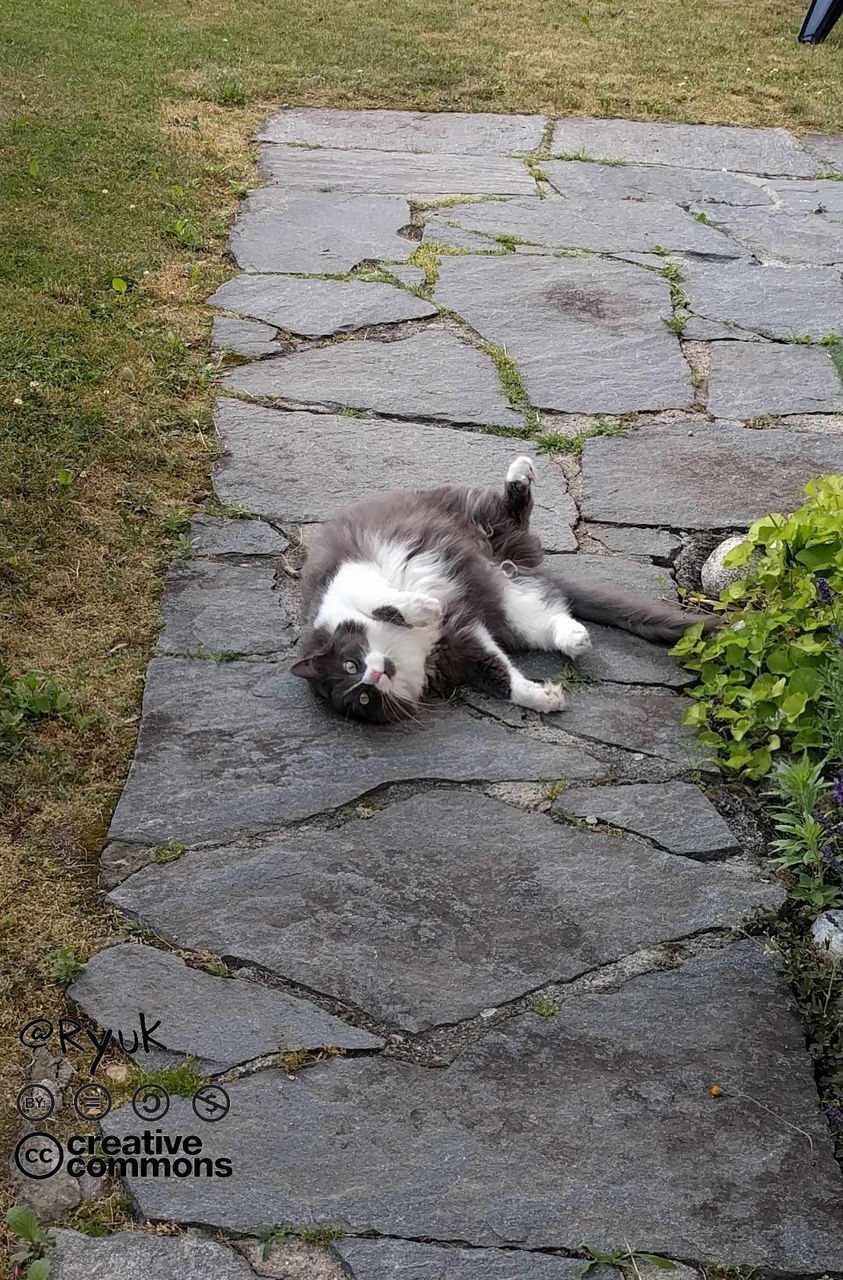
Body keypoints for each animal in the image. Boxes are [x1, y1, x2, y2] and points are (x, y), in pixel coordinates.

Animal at [291, 458, 721, 721]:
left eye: (350, 664)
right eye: (362, 697)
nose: (375, 675)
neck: (406, 648)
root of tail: (503, 561)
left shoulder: (346, 579)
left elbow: (384, 600)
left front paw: (425, 608)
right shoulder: (463, 643)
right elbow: (503, 677)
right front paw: (545, 698)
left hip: (479, 520)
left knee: (512, 511)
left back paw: (520, 473)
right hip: (509, 607)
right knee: (550, 617)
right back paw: (575, 640)